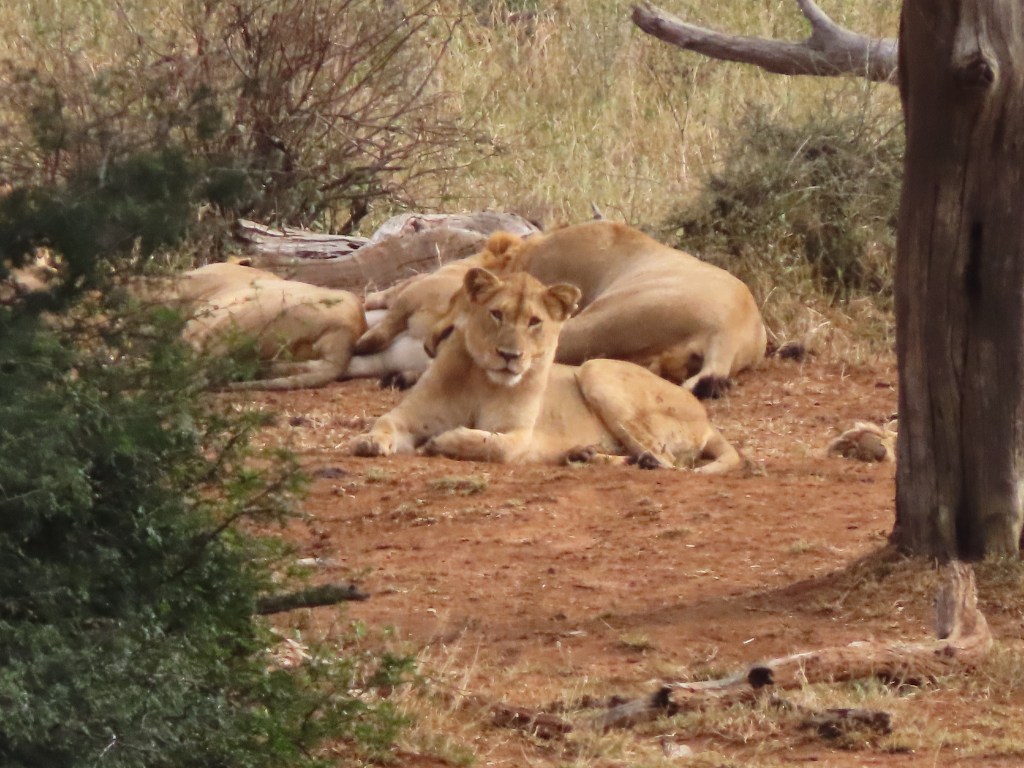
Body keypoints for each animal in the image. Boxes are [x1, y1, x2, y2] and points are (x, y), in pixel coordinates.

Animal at [351, 266, 741, 472]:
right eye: (497, 314)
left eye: (534, 322)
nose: (509, 355)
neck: (482, 380)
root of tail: (706, 418)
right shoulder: (406, 418)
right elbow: (384, 423)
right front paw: (369, 442)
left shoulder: (518, 437)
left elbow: (490, 444)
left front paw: (441, 441)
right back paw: (582, 454)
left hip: (596, 369)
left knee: (666, 461)